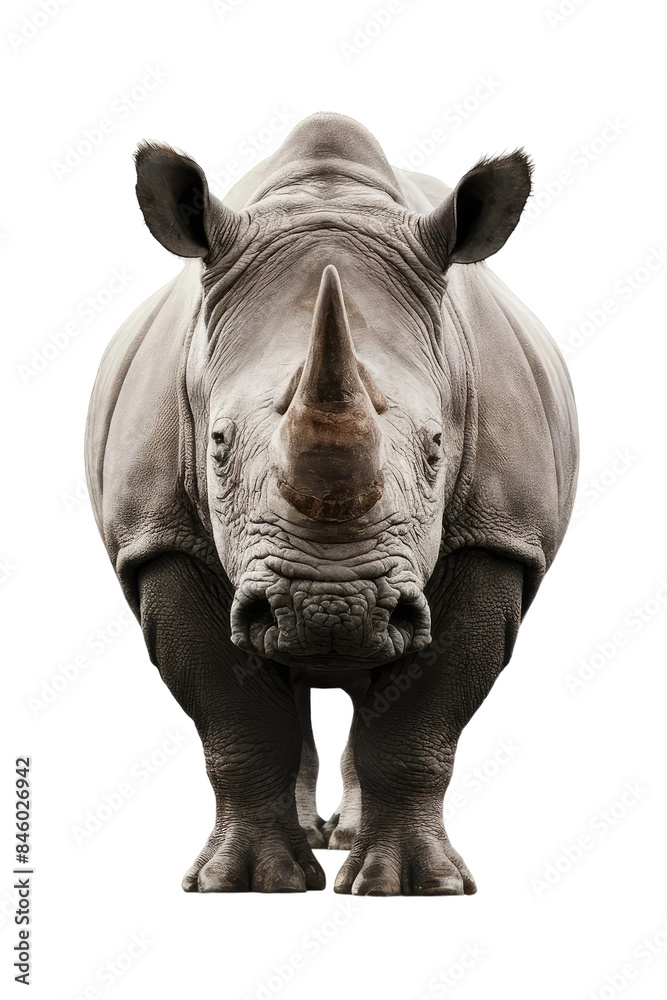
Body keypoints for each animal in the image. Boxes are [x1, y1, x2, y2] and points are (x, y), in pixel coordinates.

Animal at [85, 112, 578, 895]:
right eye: (217, 443)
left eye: (437, 446)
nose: (330, 610)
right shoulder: (159, 536)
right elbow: (237, 716)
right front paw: (246, 883)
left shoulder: (498, 536)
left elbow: (420, 719)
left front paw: (411, 886)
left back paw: (344, 842)